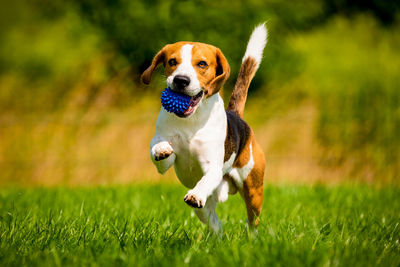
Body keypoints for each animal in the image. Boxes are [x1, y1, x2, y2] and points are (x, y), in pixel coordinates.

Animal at [142, 24, 268, 234]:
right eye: (172, 61)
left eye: (201, 64)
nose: (181, 80)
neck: (190, 121)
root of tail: (237, 116)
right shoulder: (165, 159)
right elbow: (159, 149)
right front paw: (161, 149)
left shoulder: (212, 167)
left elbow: (205, 180)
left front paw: (196, 194)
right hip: (204, 211)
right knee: (217, 224)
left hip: (253, 191)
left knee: (253, 222)